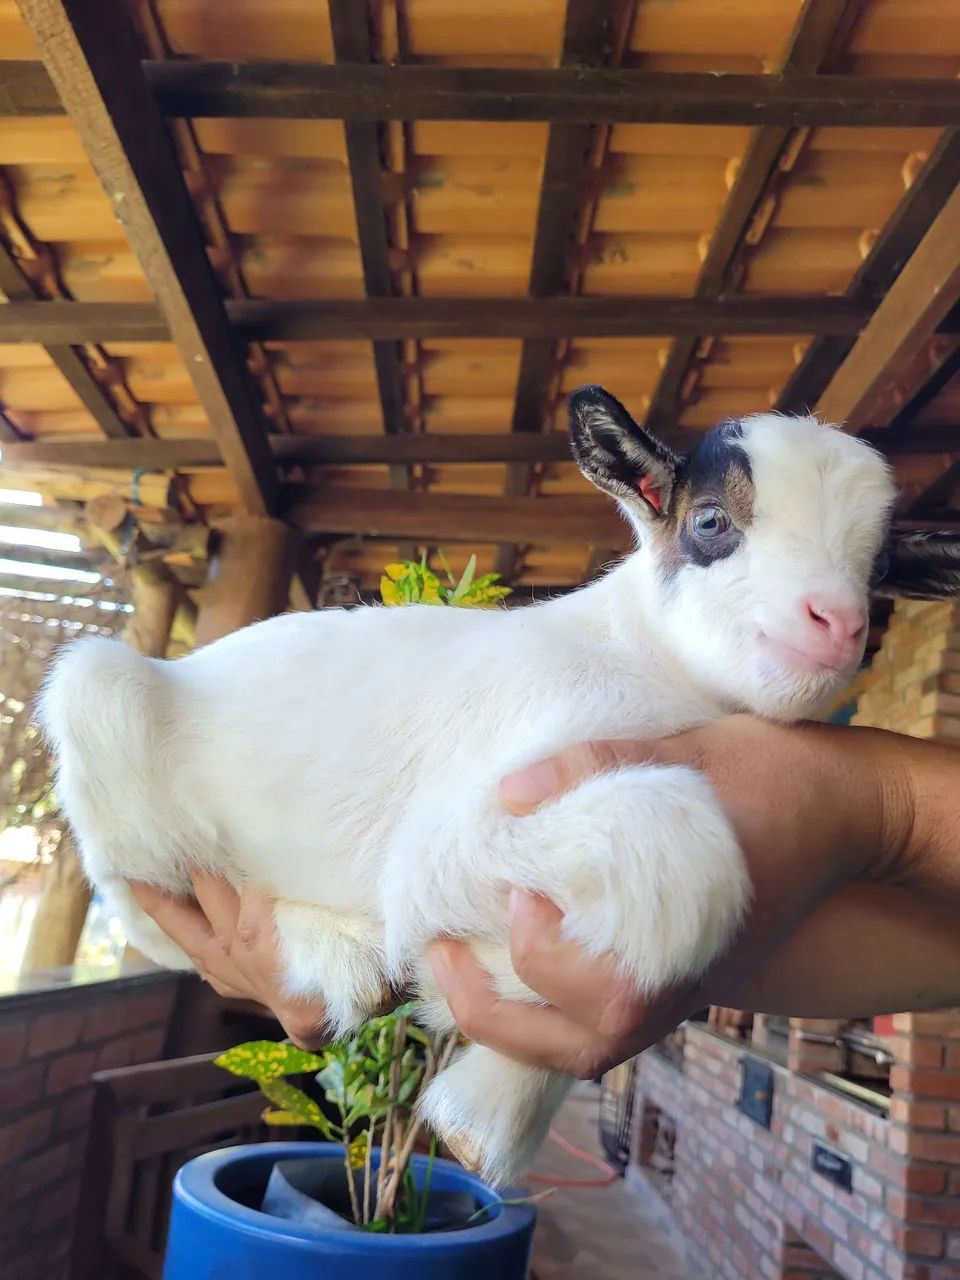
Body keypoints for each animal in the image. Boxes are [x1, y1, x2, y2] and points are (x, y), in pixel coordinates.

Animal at [38, 386, 960, 1185]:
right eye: (711, 521)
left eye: (880, 571)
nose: (835, 624)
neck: (644, 658)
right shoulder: (467, 822)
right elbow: (683, 863)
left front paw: (481, 1118)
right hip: (102, 706)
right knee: (146, 889)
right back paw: (332, 952)